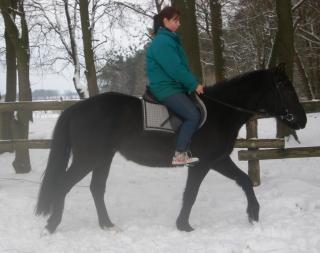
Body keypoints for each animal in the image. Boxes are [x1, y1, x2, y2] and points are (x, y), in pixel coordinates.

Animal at [35, 64, 308, 233]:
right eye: (285, 87)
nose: (302, 120)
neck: (221, 111)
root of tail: (76, 108)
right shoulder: (203, 164)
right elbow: (191, 194)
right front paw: (184, 225)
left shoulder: (219, 160)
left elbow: (244, 180)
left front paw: (253, 214)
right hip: (88, 159)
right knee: (64, 184)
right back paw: (52, 225)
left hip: (103, 158)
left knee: (96, 189)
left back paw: (107, 224)